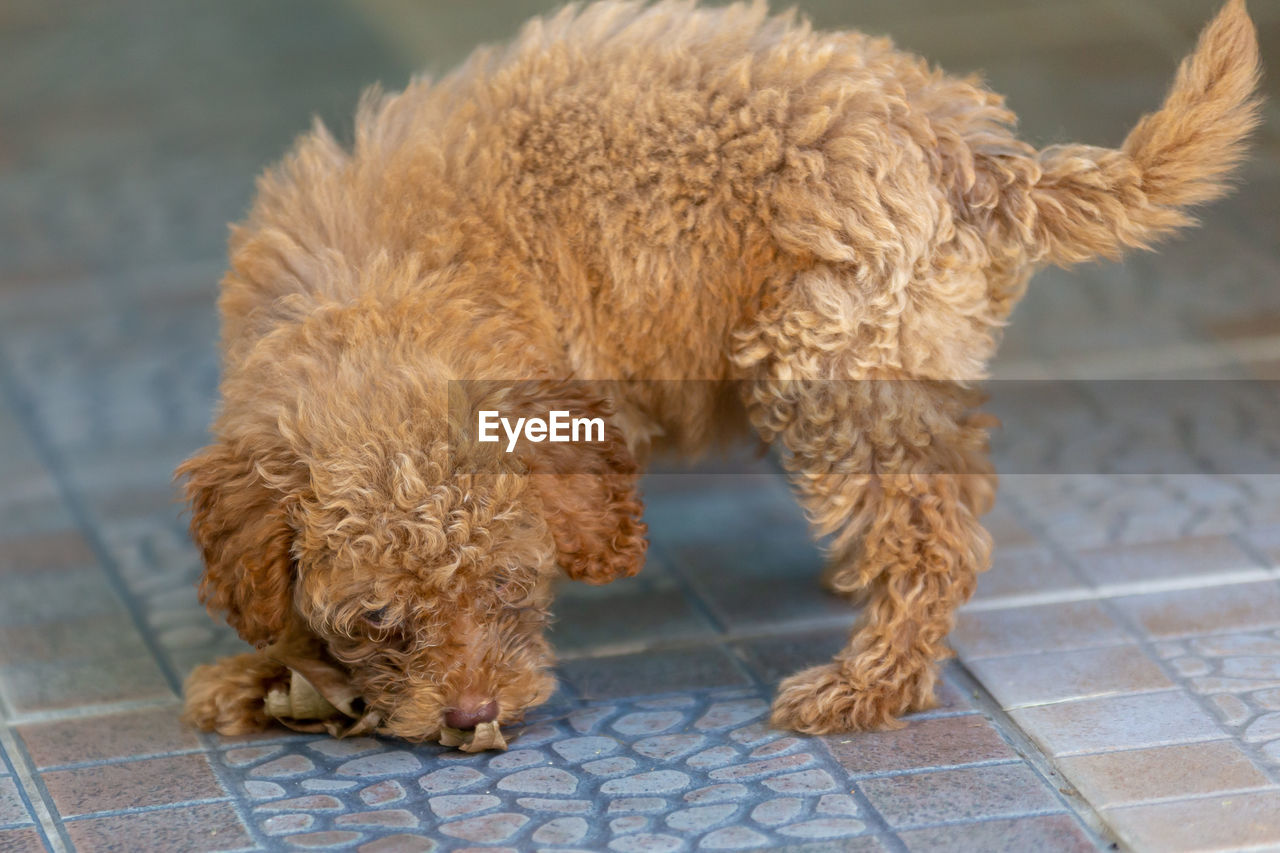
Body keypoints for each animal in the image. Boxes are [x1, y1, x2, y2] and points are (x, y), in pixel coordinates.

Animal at [180, 0, 1259, 737]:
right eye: (380, 620)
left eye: (511, 586)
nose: (472, 715)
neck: (383, 296)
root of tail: (961, 142)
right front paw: (263, 673)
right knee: (951, 485)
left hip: (825, 356)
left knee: (931, 533)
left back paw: (867, 681)